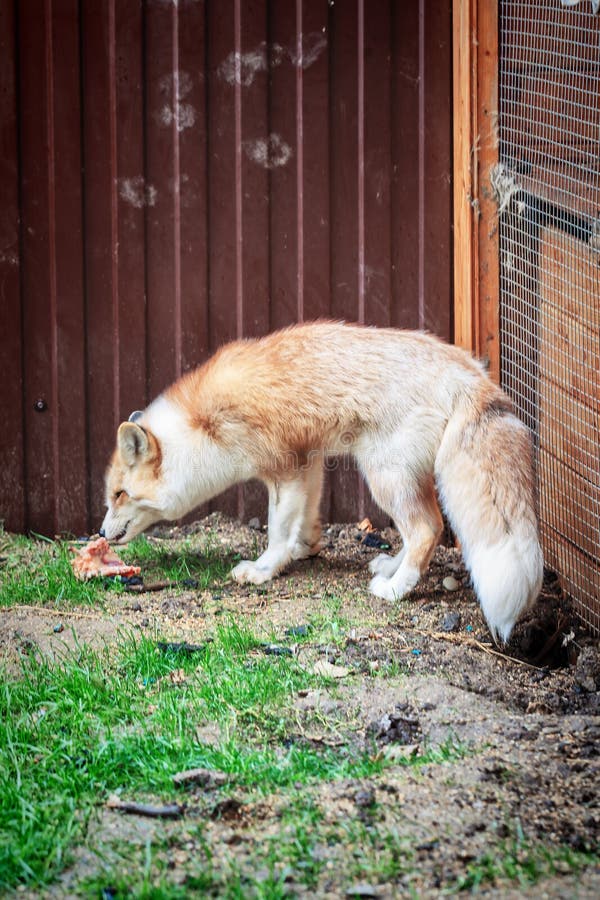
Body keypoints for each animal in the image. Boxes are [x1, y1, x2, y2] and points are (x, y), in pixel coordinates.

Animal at [100, 321, 543, 643]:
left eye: (120, 494)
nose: (101, 534)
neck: (203, 426)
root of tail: (469, 372)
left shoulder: (285, 470)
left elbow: (276, 531)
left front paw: (264, 570)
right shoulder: (308, 465)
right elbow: (305, 519)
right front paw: (305, 549)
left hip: (383, 476)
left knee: (427, 529)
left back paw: (396, 590)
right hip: (396, 480)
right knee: (420, 531)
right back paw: (390, 567)